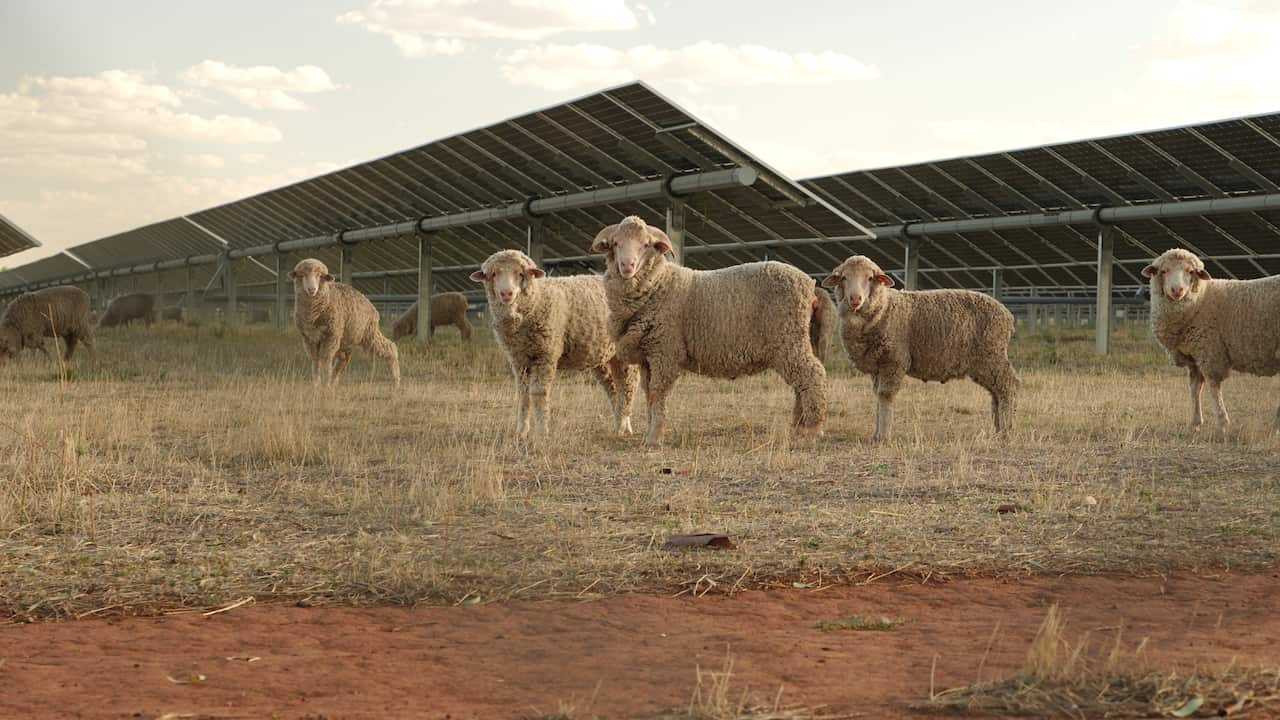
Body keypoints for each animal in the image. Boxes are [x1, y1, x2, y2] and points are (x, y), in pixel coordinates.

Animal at [289, 258, 400, 387]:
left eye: (320, 276)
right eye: (301, 275)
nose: (312, 289)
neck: (313, 314)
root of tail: (369, 304)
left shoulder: (331, 336)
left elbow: (326, 359)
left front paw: (325, 384)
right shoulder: (309, 338)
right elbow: (315, 361)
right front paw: (316, 384)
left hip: (367, 333)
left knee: (389, 347)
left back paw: (396, 380)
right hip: (345, 338)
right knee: (344, 359)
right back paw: (334, 381)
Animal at [469, 249, 637, 438]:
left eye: (520, 274)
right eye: (493, 274)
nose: (507, 293)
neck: (536, 299)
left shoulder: (546, 355)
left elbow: (539, 393)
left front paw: (542, 432)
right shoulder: (518, 360)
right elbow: (523, 395)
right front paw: (521, 432)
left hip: (625, 350)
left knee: (627, 385)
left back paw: (621, 426)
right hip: (604, 355)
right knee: (612, 387)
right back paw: (622, 425)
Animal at [591, 216, 833, 447]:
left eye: (645, 244)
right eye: (615, 243)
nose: (627, 265)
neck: (658, 283)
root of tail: (811, 285)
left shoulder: (665, 351)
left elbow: (658, 393)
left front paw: (654, 438)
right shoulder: (647, 357)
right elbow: (649, 394)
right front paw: (649, 433)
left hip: (788, 339)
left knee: (812, 375)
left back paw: (813, 430)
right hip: (799, 340)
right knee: (801, 384)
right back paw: (798, 428)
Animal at [824, 255, 1018, 441]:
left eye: (870, 278)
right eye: (844, 277)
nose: (855, 299)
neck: (884, 308)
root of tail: (1007, 314)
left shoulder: (894, 360)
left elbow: (885, 395)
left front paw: (883, 436)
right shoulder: (878, 366)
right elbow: (877, 395)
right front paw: (876, 434)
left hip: (992, 356)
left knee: (1008, 387)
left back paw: (1006, 430)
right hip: (985, 364)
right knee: (995, 393)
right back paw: (998, 429)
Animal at [1142, 248, 1280, 435]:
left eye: (1190, 271)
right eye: (1163, 271)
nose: (1177, 290)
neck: (1200, 300)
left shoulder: (1209, 350)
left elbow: (1213, 387)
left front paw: (1222, 424)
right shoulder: (1194, 356)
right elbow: (1194, 388)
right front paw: (1194, 424)